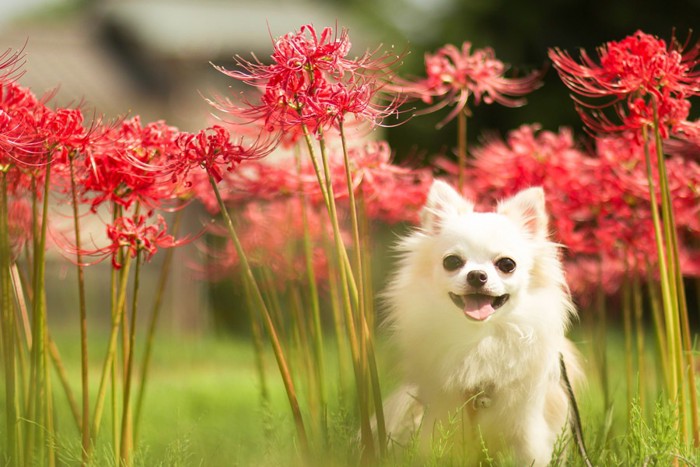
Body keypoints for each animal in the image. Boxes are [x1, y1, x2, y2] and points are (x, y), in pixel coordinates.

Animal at [380, 181, 584, 466]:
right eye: (452, 262)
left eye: (507, 264)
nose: (477, 275)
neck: (480, 337)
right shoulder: (445, 416)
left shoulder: (524, 427)